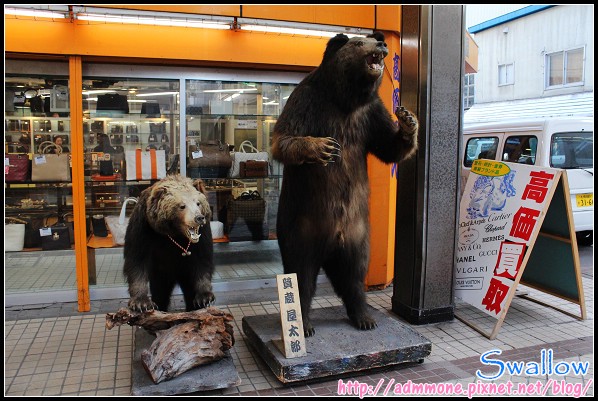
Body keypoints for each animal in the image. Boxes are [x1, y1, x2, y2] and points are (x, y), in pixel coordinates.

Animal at [122, 175, 216, 312]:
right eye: (182, 206)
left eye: (198, 203)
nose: (199, 218)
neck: (174, 233)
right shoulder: (143, 228)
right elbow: (136, 261)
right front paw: (141, 303)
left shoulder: (202, 235)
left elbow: (202, 261)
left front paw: (204, 298)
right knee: (161, 293)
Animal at [272, 31, 418, 336]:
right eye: (359, 43)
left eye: (373, 39)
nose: (382, 44)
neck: (345, 99)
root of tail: (330, 247)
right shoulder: (307, 102)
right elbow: (285, 138)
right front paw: (323, 147)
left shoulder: (370, 115)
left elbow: (389, 146)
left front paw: (408, 120)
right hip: (302, 225)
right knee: (301, 272)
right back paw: (305, 324)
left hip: (357, 231)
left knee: (354, 273)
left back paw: (364, 316)